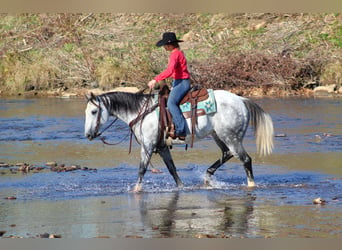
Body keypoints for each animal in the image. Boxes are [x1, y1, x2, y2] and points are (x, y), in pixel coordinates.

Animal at [84, 89, 274, 192]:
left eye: (94, 112)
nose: (88, 135)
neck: (141, 112)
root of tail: (241, 100)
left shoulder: (148, 146)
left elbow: (142, 169)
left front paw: (136, 189)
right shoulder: (162, 148)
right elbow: (173, 170)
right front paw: (182, 187)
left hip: (231, 136)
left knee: (245, 159)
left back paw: (251, 185)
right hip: (218, 135)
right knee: (227, 153)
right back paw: (207, 176)